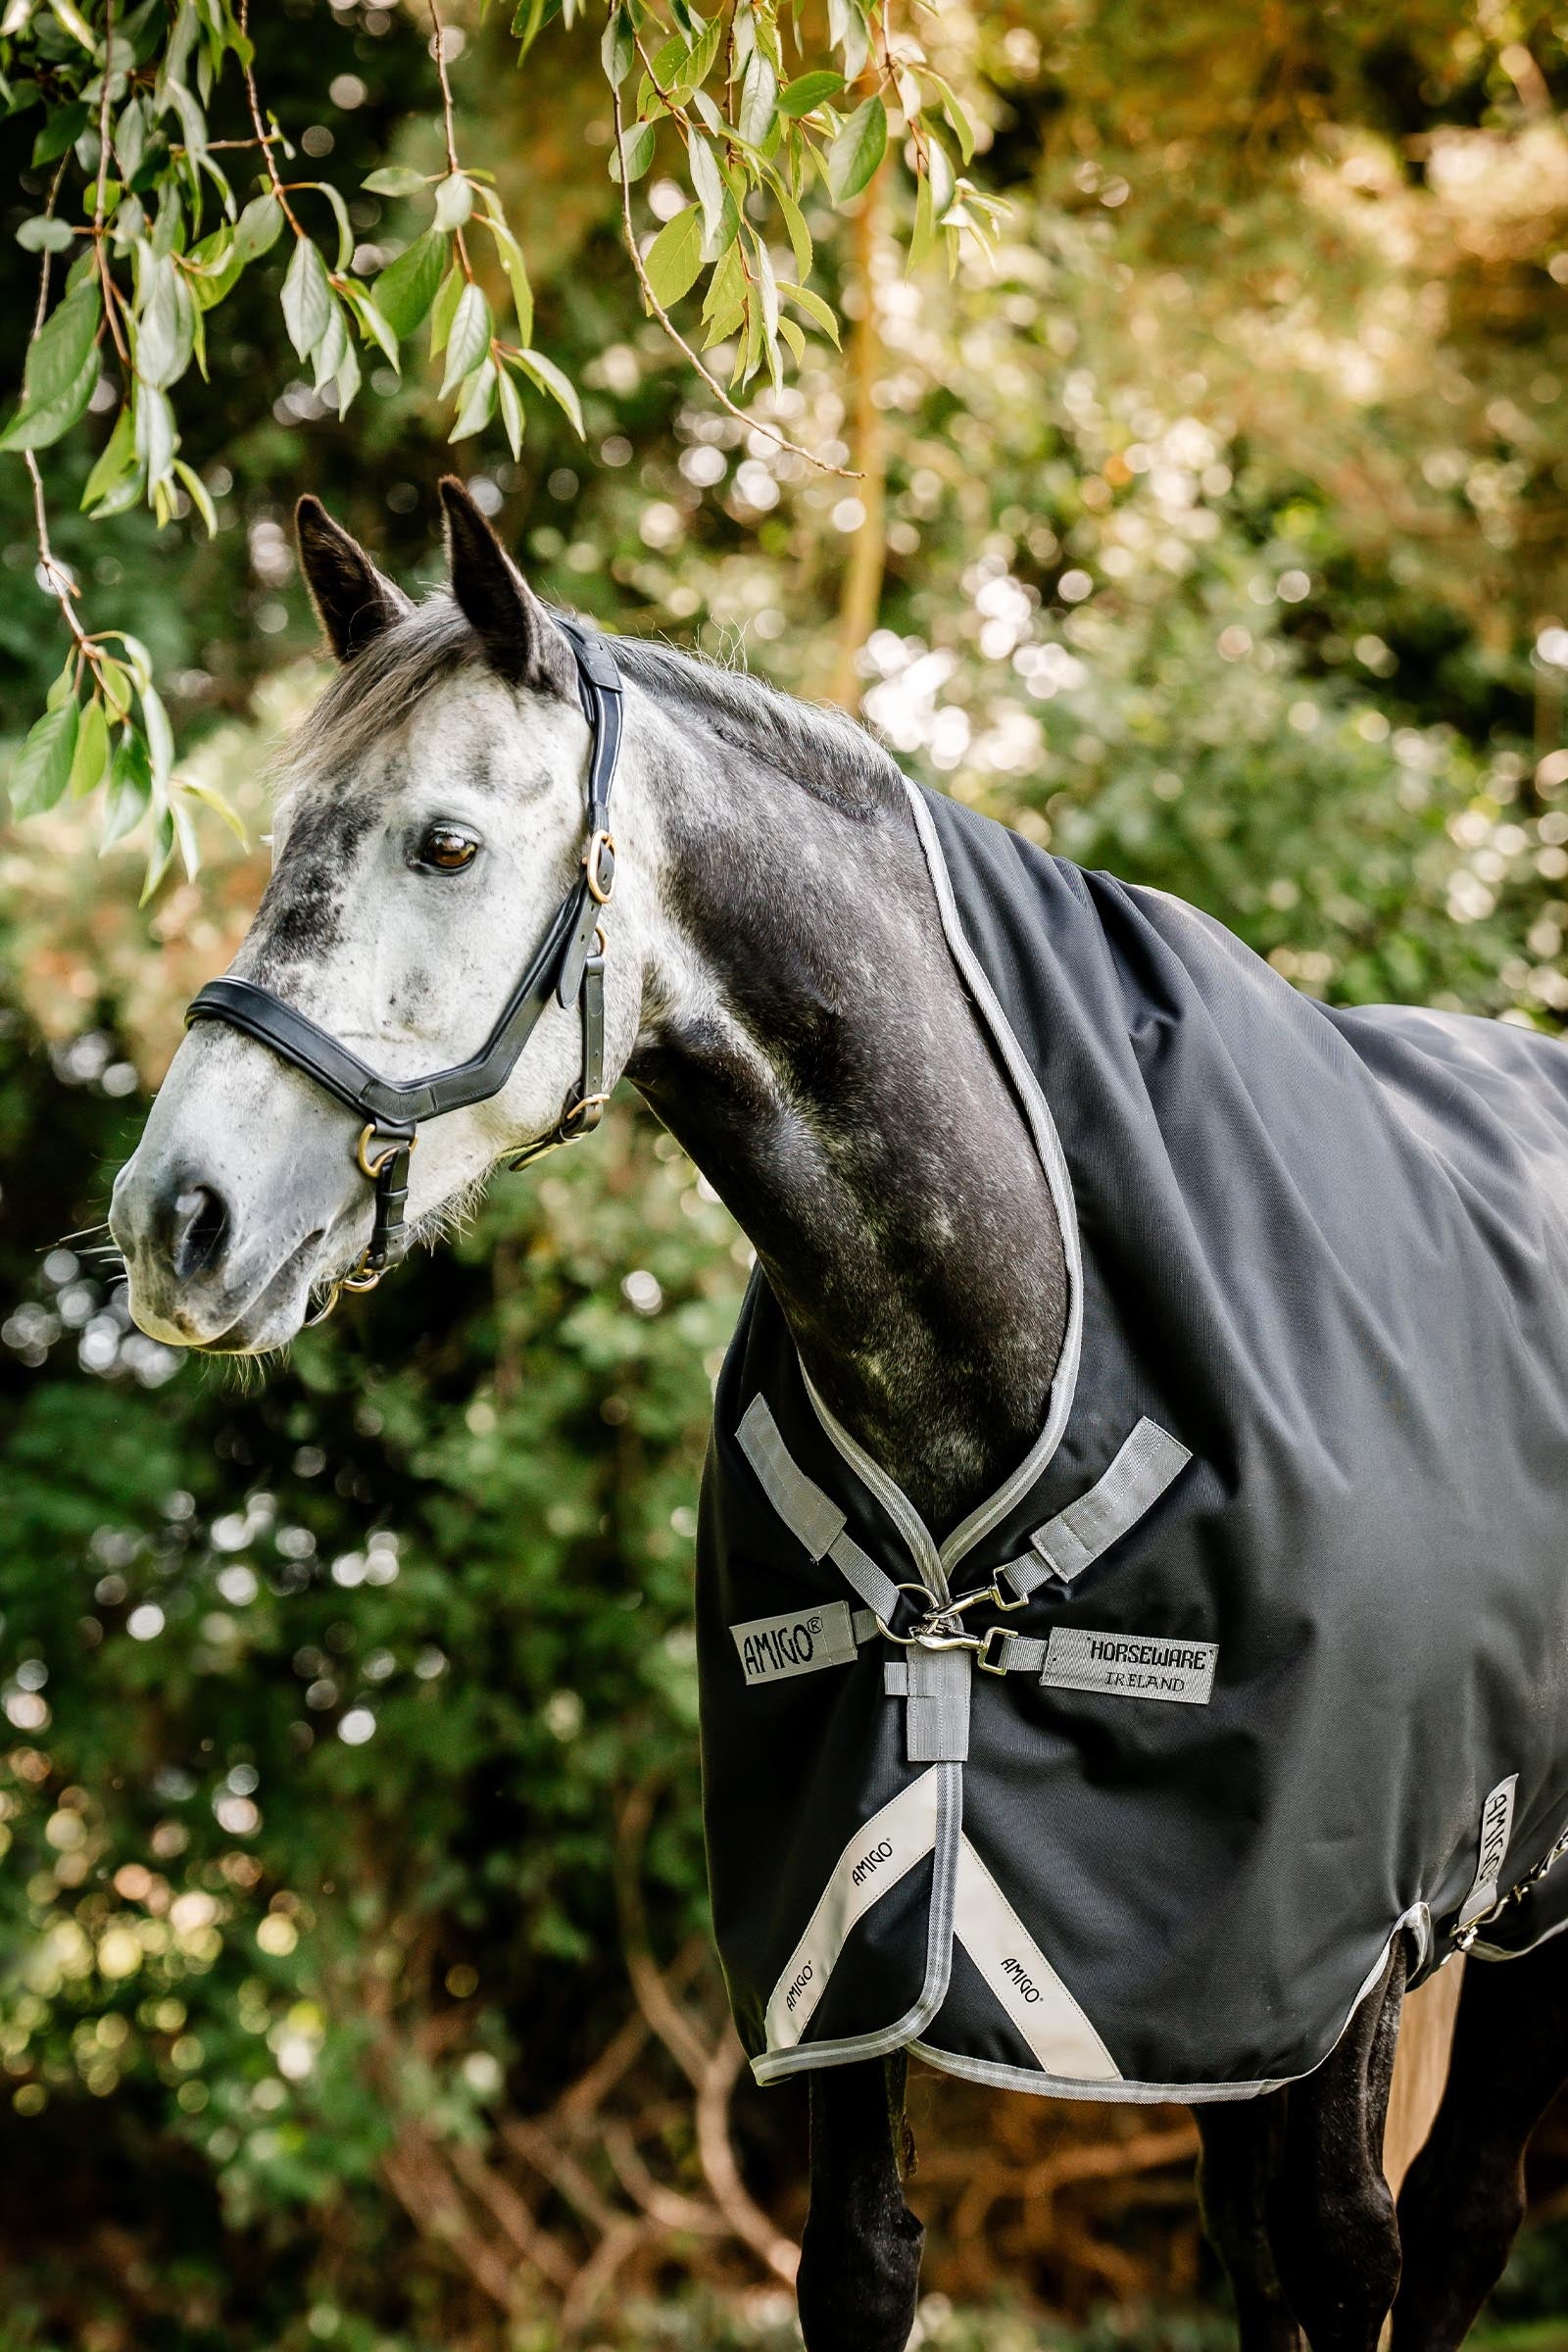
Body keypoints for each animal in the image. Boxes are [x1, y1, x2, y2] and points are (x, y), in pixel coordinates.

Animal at [109, 479, 1568, 2352]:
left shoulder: (1348, 1934)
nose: (175, 1218)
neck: (1020, 1308)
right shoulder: (871, 1921)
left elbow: (1352, 2250)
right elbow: (865, 2266)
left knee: (1450, 2218)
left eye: (443, 846)